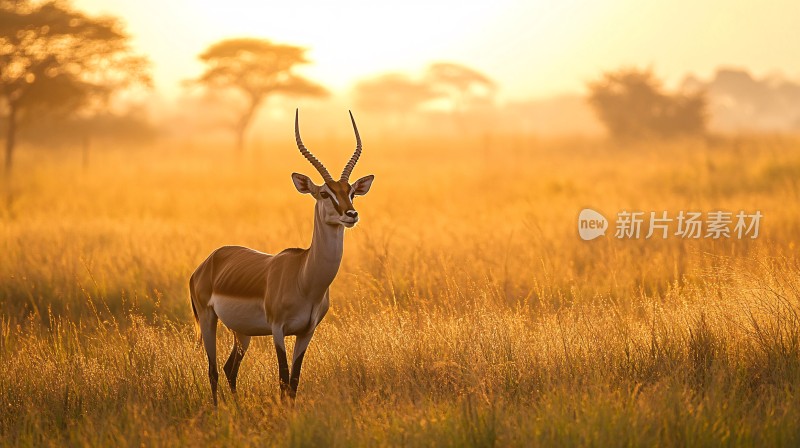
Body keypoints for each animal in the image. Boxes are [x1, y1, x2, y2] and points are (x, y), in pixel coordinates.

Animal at [191, 110, 376, 404]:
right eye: (324, 193)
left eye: (351, 192)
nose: (351, 214)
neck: (304, 278)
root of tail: (209, 261)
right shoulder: (278, 330)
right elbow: (282, 379)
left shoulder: (306, 332)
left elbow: (294, 382)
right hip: (209, 320)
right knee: (213, 371)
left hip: (242, 332)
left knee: (230, 368)